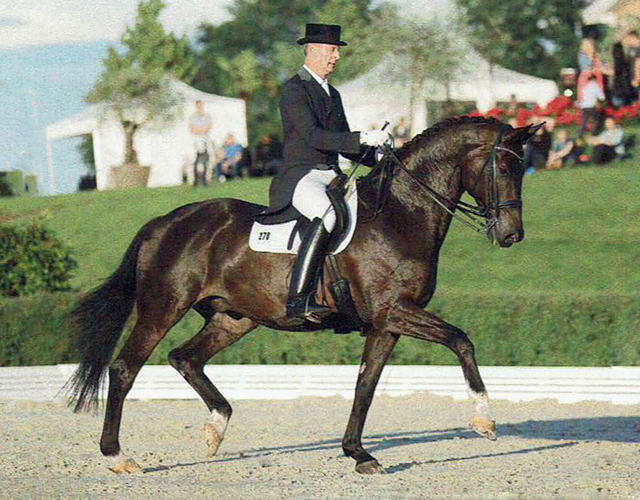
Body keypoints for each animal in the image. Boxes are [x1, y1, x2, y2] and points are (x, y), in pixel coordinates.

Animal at [66, 115, 540, 474]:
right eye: (504, 168)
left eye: (522, 169)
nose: (511, 235)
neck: (400, 214)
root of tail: (163, 222)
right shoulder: (394, 311)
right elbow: (461, 340)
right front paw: (485, 420)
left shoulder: (385, 323)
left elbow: (365, 384)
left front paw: (358, 454)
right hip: (162, 307)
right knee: (125, 369)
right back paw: (118, 457)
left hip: (234, 318)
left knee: (186, 358)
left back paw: (216, 428)